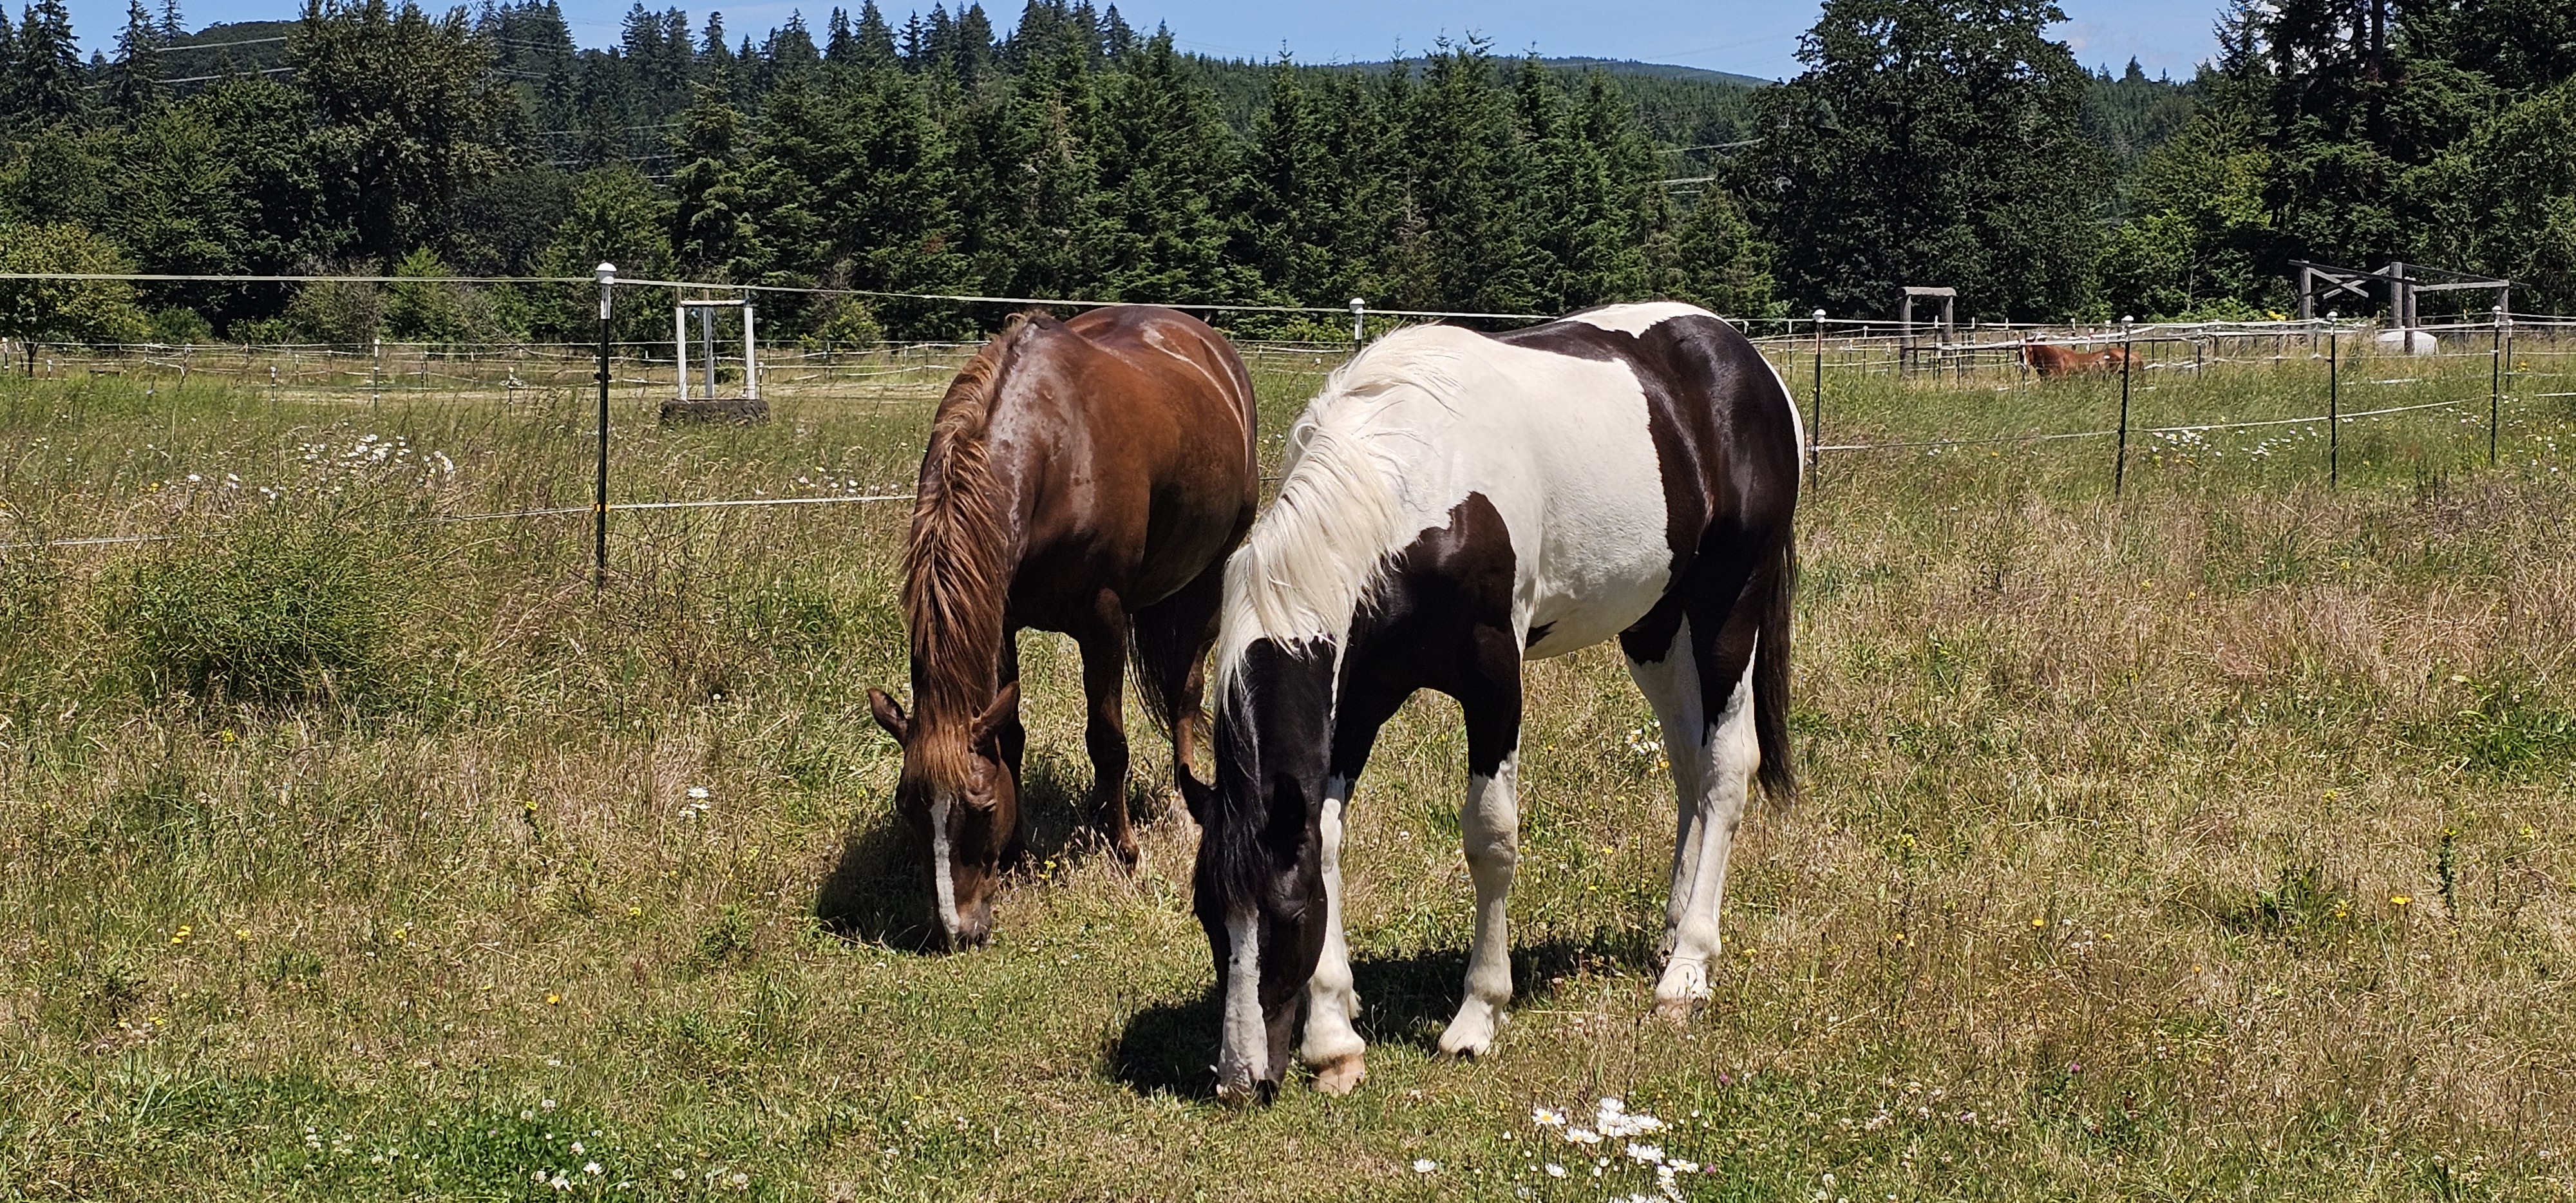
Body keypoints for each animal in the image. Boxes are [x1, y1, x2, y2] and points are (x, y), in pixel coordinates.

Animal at [867, 306, 1259, 950]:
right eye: (908, 808)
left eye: (979, 809)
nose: (959, 930)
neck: (1055, 451)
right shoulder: (1001, 620)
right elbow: (1011, 736)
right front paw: (1018, 853)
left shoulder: (1104, 619)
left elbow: (1108, 740)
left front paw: (1124, 852)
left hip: (1210, 576)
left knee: (1186, 693)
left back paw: (1183, 803)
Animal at [1193, 301, 1801, 1102]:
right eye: (1209, 916)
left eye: (1287, 917)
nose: (1240, 1078)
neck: (1410, 484)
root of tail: (1744, 356)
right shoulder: (1354, 698)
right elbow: (1324, 838)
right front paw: (1333, 1041)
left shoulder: (1492, 678)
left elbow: (1490, 837)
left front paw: (1477, 1015)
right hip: (1655, 627)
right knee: (1689, 768)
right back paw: (1672, 932)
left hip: (1729, 608)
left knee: (1726, 769)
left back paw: (1687, 971)